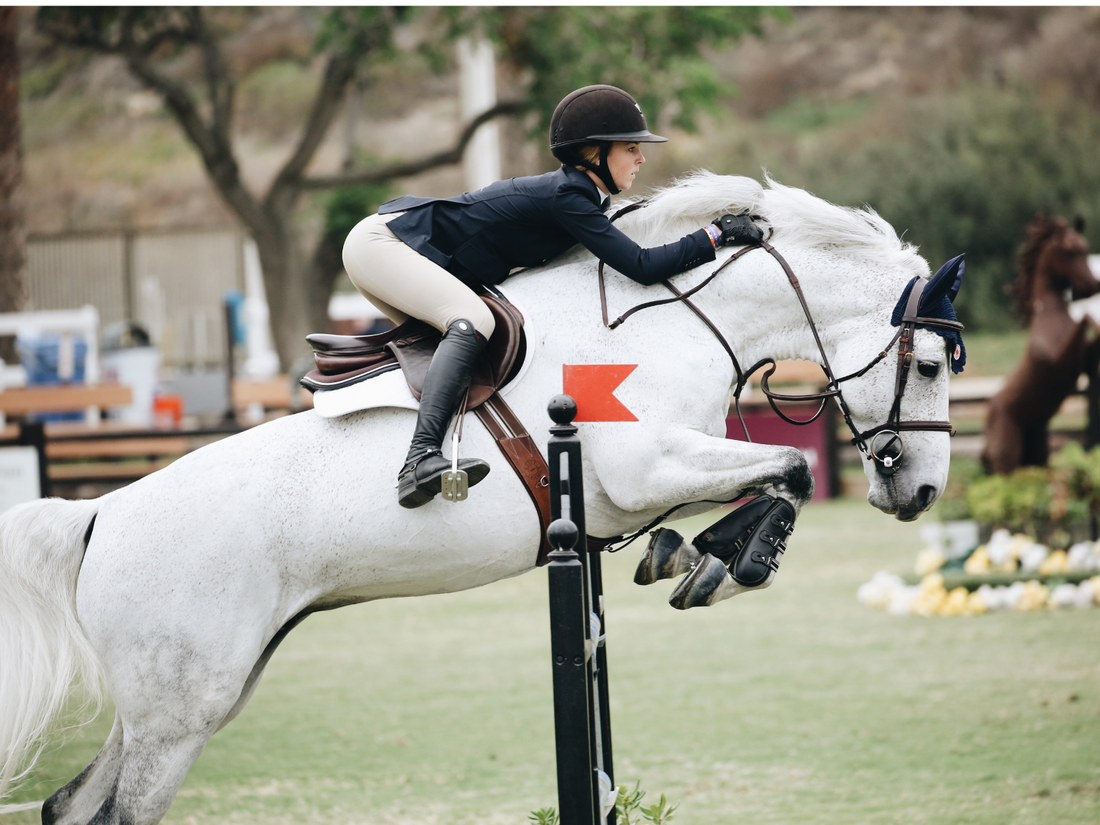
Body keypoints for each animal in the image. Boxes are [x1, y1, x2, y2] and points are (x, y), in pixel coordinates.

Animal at [0, 171, 959, 822]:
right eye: (929, 363)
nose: (920, 491)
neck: (674, 320)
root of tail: (100, 515)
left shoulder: (645, 483)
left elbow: (768, 476)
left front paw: (691, 556)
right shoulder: (641, 469)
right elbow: (792, 469)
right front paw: (728, 560)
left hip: (188, 695)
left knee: (72, 806)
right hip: (179, 710)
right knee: (117, 811)